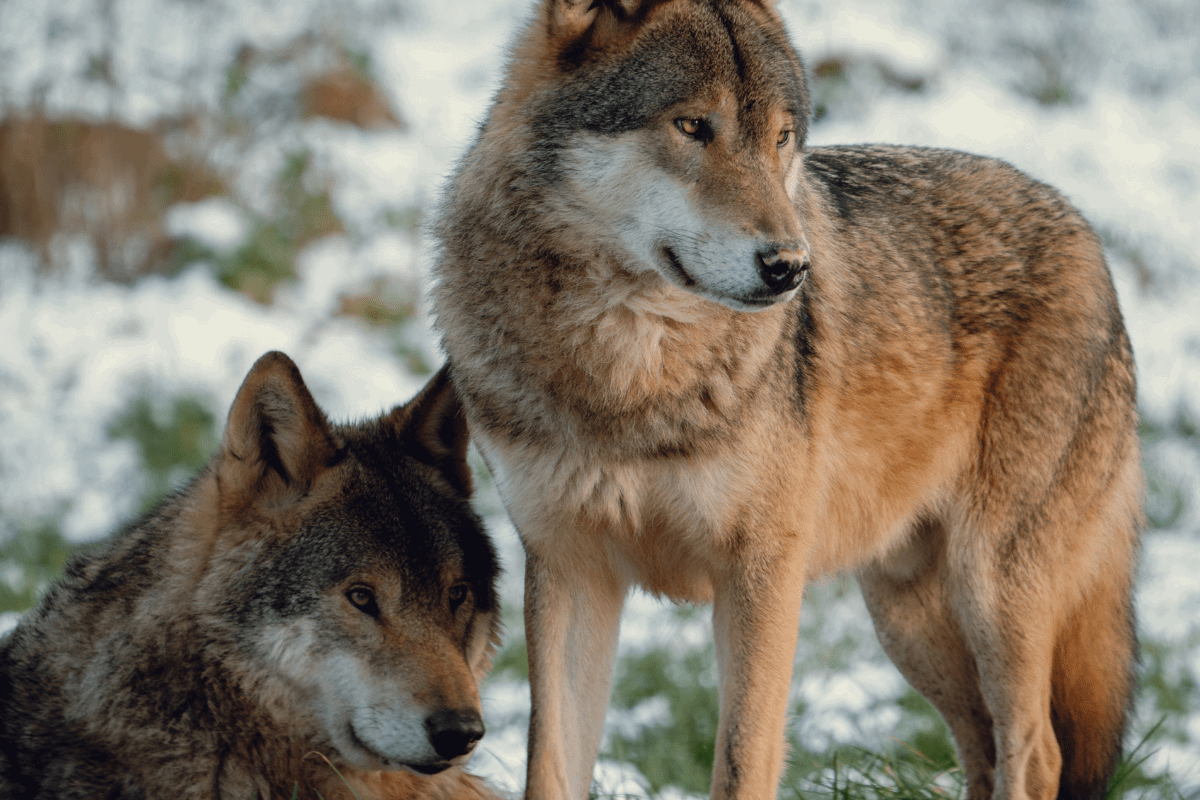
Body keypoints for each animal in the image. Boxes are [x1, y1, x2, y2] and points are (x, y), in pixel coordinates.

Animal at [429, 0, 1143, 798]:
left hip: (991, 593)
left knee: (1038, 750)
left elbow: (743, 759)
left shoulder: (762, 571)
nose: (791, 267)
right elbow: (549, 768)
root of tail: (1083, 229)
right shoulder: (570, 571)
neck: (629, 371)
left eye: (781, 137)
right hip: (909, 619)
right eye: (692, 126)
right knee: (987, 749)